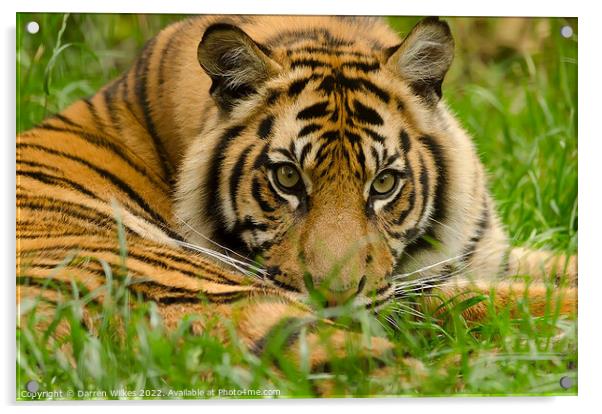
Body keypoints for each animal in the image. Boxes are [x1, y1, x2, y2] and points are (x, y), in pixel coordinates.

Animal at [16, 16, 576, 372]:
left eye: (384, 183)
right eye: (287, 179)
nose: (335, 300)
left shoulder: (488, 256)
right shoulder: (416, 294)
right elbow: (519, 299)